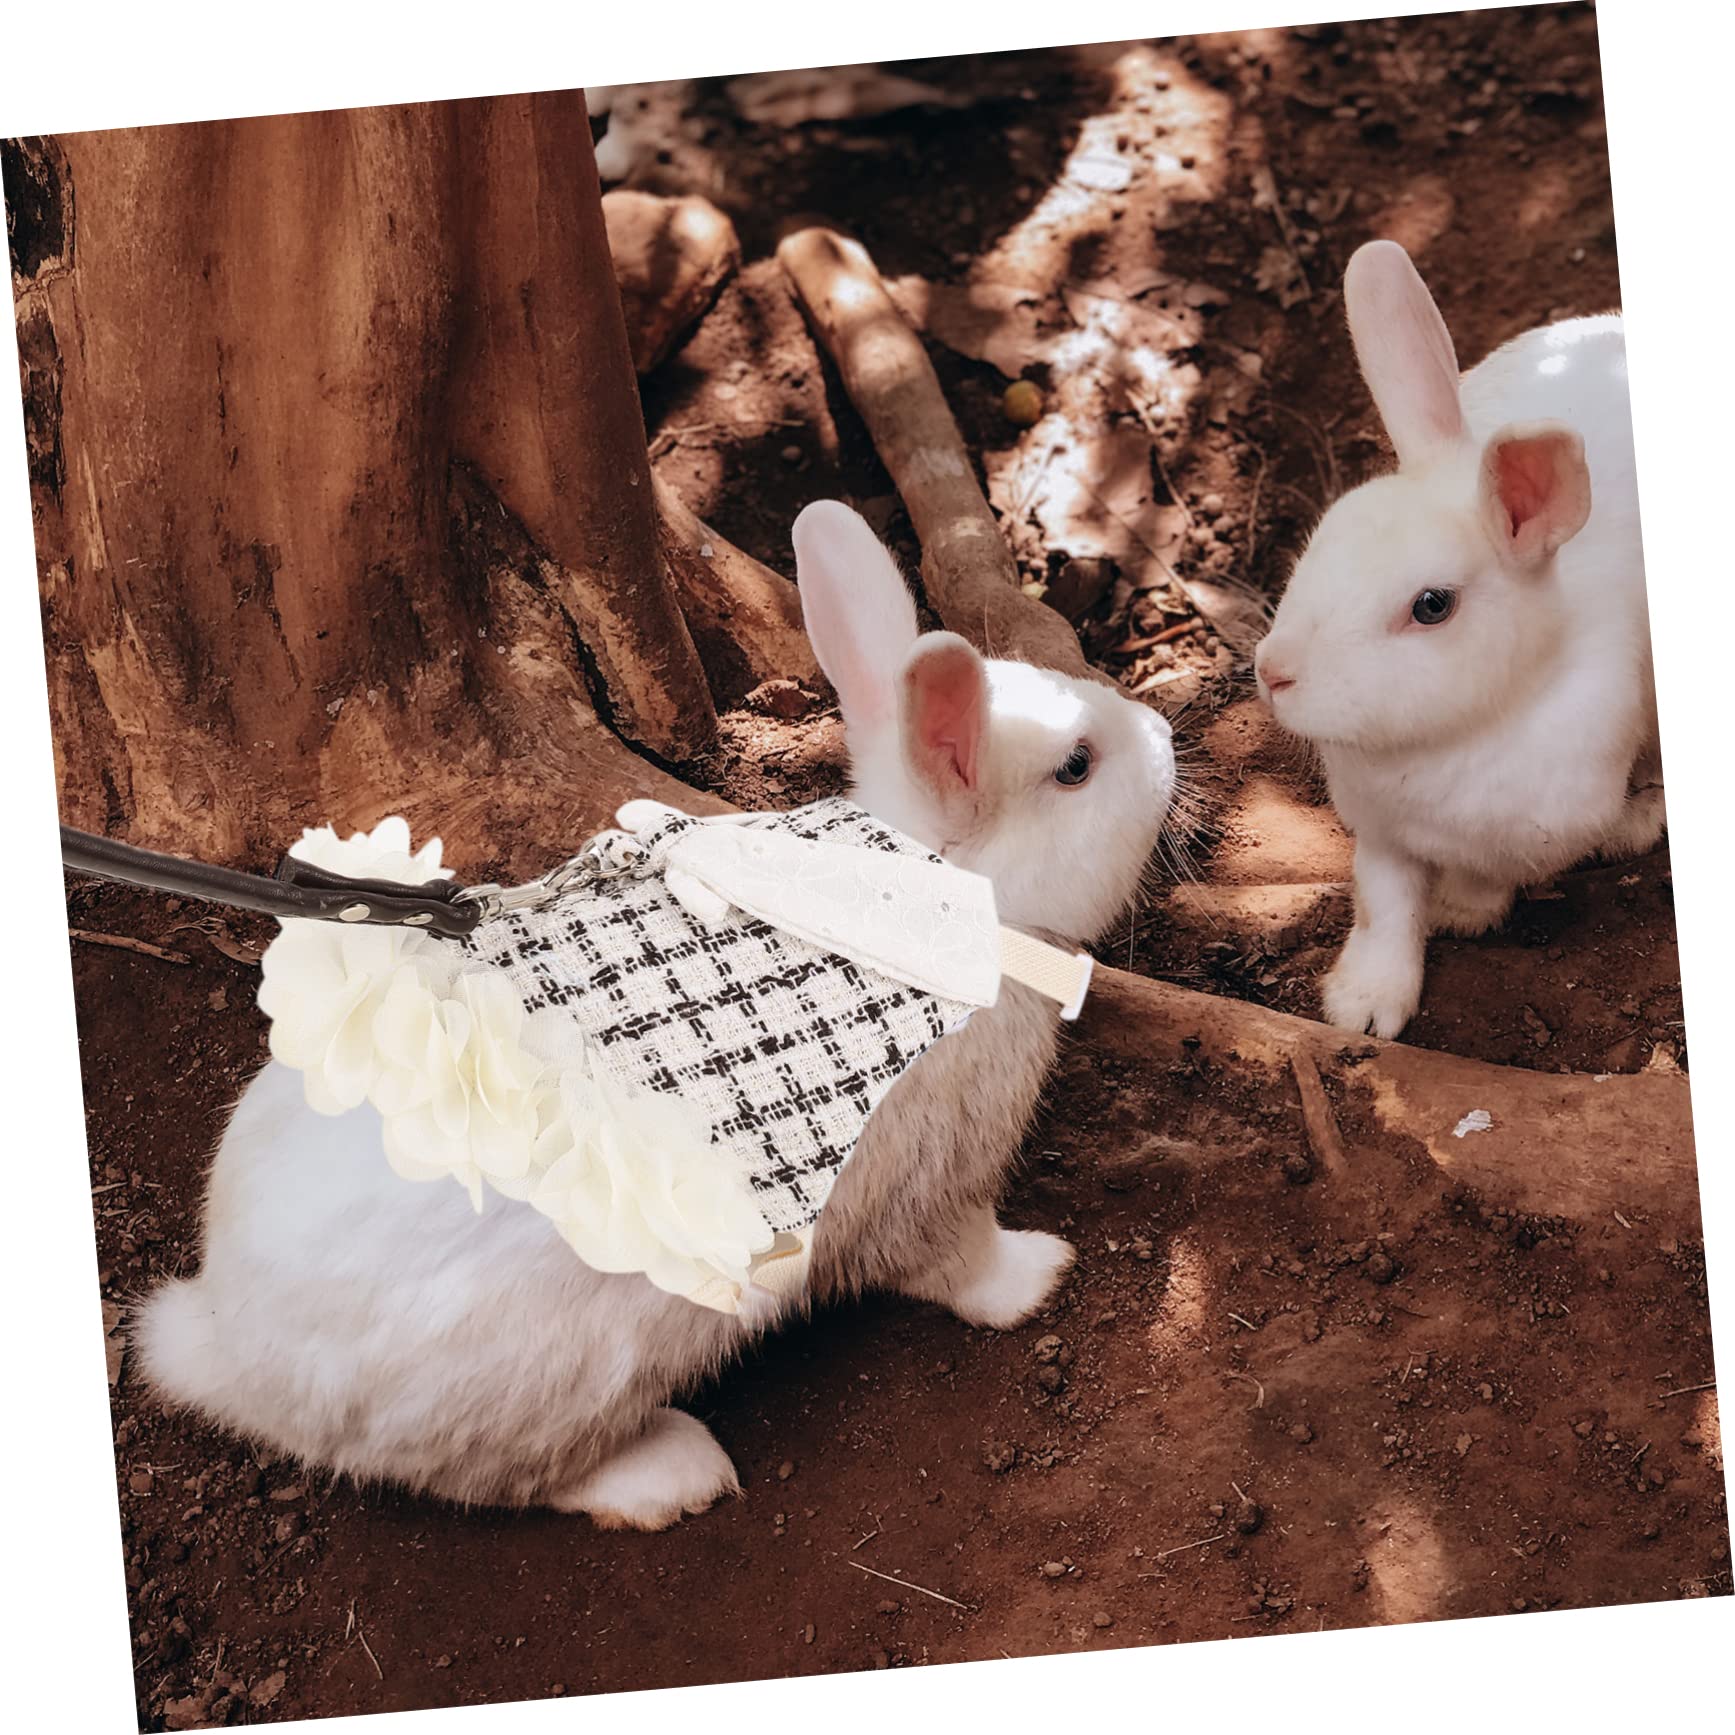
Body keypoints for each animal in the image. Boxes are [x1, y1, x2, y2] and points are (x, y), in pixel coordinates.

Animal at [135, 499, 1176, 1528]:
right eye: (1076, 768)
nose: (1164, 738)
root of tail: (228, 1356)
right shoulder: (929, 1181)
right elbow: (957, 1263)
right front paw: (1041, 1271)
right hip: (558, 1378)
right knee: (513, 1477)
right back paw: (674, 1473)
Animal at [1252, 239, 1659, 1040]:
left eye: (1431, 606)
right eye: (1322, 538)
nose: (1272, 672)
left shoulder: (1529, 835)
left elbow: (1480, 878)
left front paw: (1460, 912)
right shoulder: (1378, 836)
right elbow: (1383, 908)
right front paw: (1361, 1006)